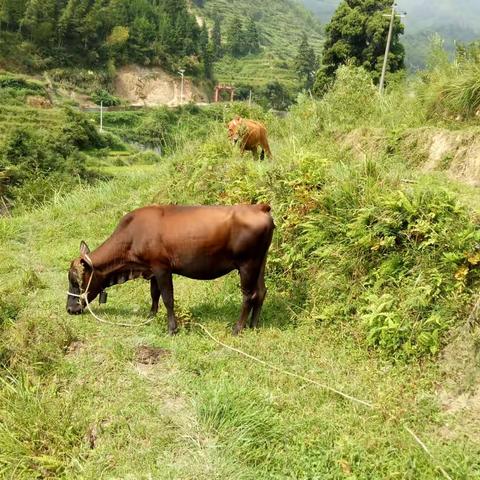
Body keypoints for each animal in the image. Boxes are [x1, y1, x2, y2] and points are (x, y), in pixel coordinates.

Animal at [65, 204, 274, 336]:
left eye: (76, 281)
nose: (69, 309)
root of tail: (259, 207)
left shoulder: (162, 267)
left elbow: (168, 298)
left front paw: (172, 328)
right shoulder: (151, 269)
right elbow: (154, 294)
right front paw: (150, 316)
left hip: (247, 264)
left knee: (248, 295)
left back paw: (238, 328)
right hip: (260, 262)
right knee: (261, 291)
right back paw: (254, 325)